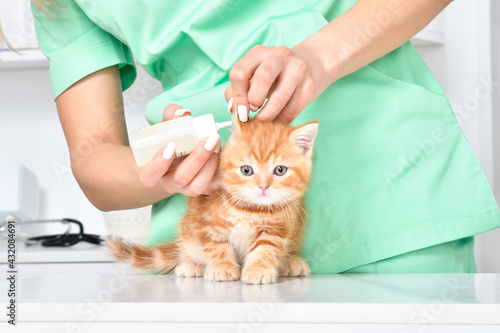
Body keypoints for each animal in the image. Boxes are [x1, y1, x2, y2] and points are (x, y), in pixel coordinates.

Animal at [107, 115, 318, 284]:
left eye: (280, 170)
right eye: (246, 170)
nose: (263, 186)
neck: (250, 209)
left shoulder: (276, 229)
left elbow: (266, 249)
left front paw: (258, 269)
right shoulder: (206, 223)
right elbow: (216, 246)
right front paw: (222, 267)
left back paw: (290, 262)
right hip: (188, 232)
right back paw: (192, 265)